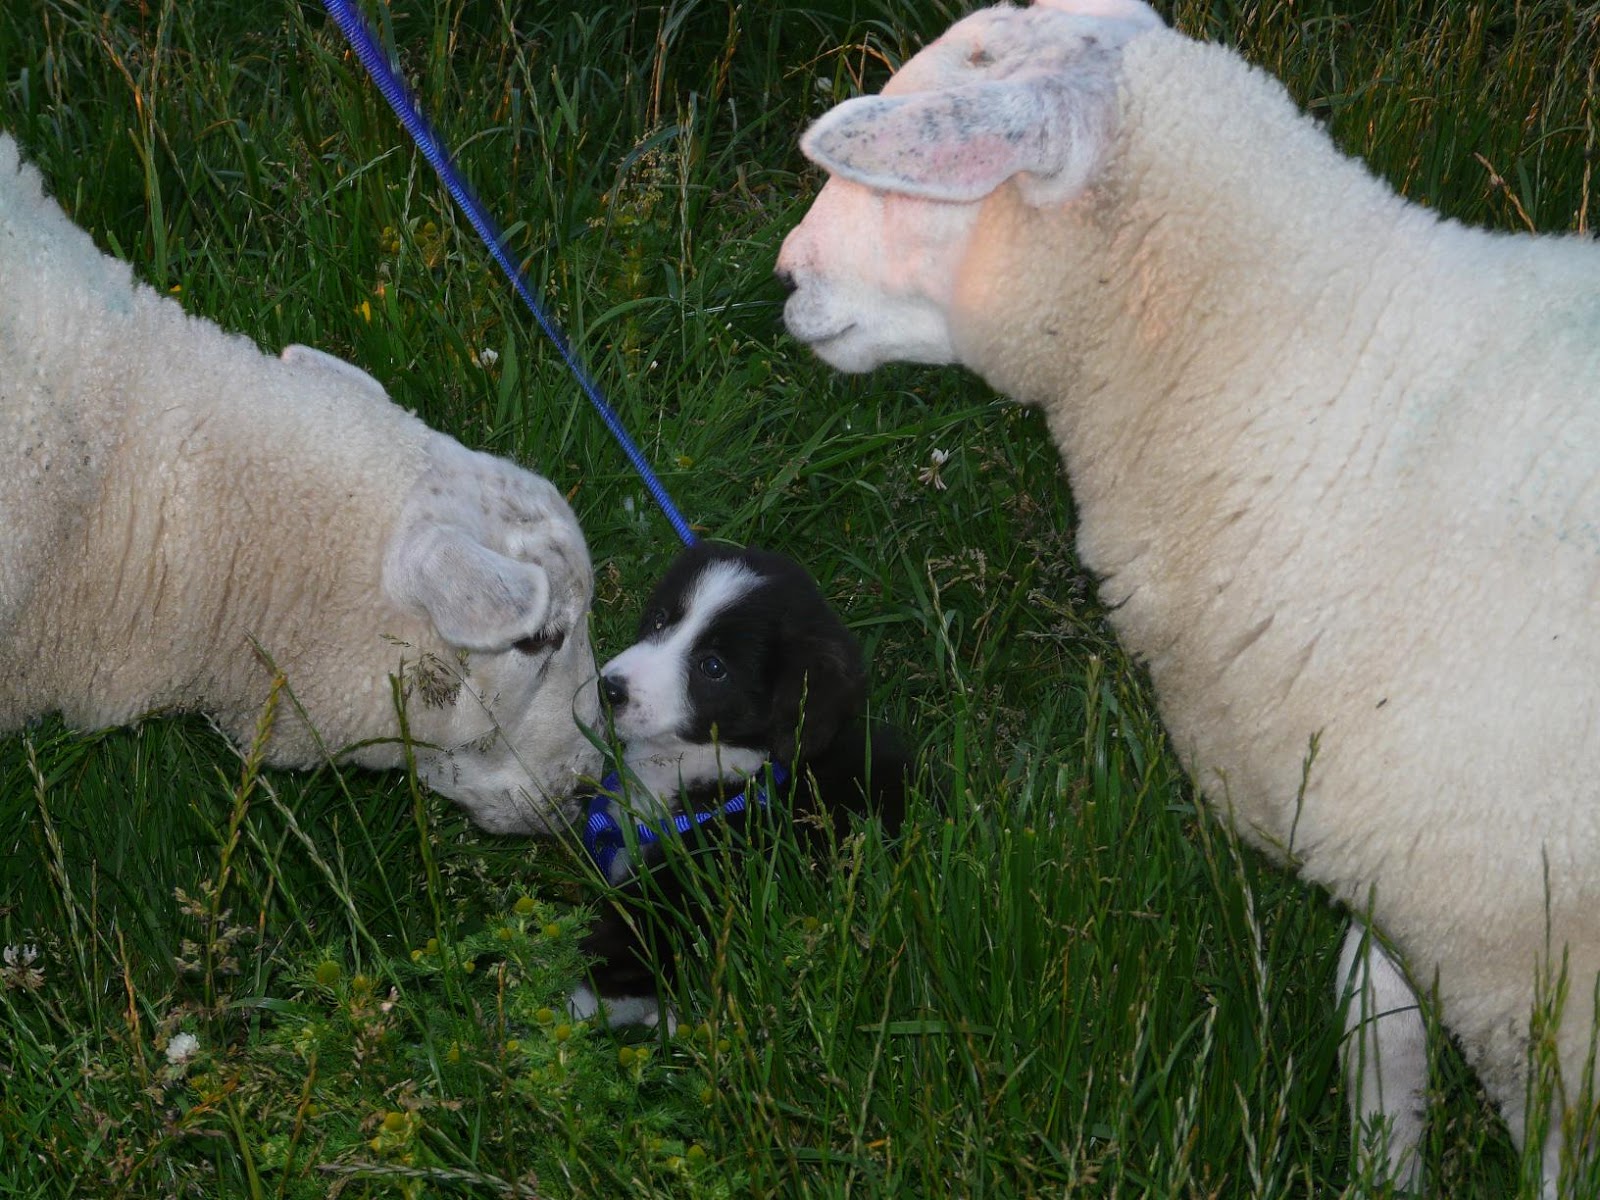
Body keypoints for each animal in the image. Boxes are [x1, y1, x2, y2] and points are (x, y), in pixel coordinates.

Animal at [777, 0, 1600, 1188]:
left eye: (908, 177)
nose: (785, 276)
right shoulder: (1395, 861)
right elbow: (1376, 1026)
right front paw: (1383, 1170)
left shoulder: (1529, 968)